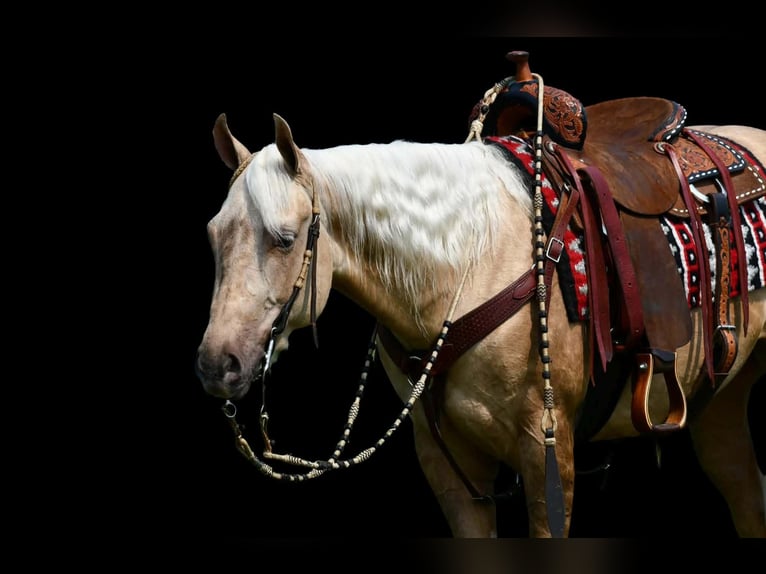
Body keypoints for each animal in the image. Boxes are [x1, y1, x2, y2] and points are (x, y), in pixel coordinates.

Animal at [195, 96, 766, 537]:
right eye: (212, 234)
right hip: (721, 403)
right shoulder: (448, 463)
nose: (217, 364)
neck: (472, 262)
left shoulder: (547, 451)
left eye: (284, 239)